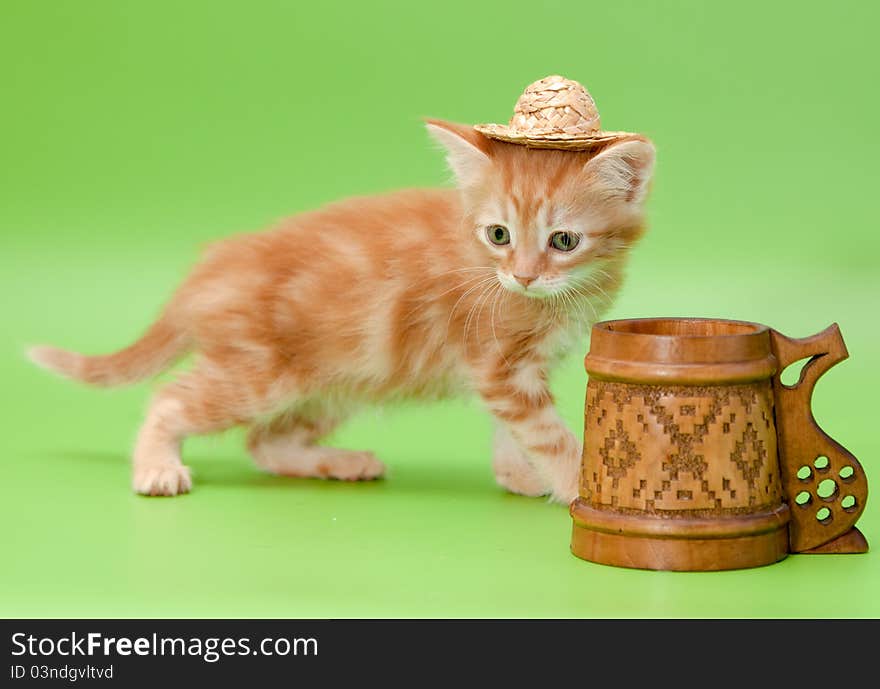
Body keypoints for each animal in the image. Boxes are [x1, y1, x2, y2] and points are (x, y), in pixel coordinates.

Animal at [27, 119, 652, 500]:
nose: (523, 275)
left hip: (336, 382)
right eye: (498, 234)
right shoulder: (500, 364)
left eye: (563, 241)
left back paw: (340, 463)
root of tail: (207, 270)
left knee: (264, 442)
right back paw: (156, 467)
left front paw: (519, 475)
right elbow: (548, 433)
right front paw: (578, 486)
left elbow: (513, 429)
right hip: (259, 375)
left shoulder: (509, 373)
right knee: (170, 400)